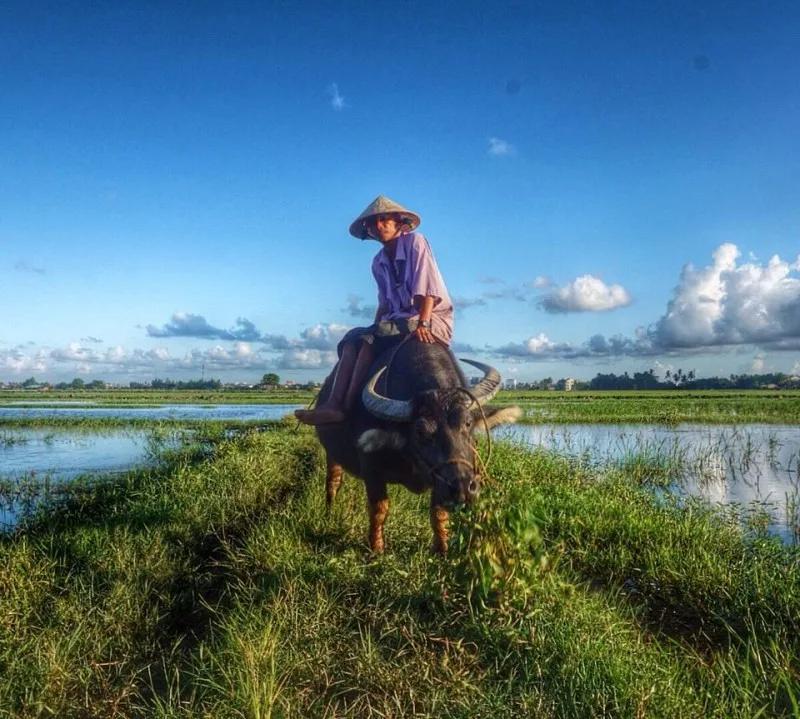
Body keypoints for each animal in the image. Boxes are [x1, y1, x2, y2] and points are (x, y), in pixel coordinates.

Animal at [312, 340, 520, 556]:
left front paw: (441, 548)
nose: (463, 487)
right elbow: (378, 509)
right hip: (331, 454)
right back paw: (329, 510)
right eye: (420, 431)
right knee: (333, 482)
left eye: (468, 422)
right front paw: (376, 548)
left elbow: (438, 513)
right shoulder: (371, 469)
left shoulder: (439, 479)